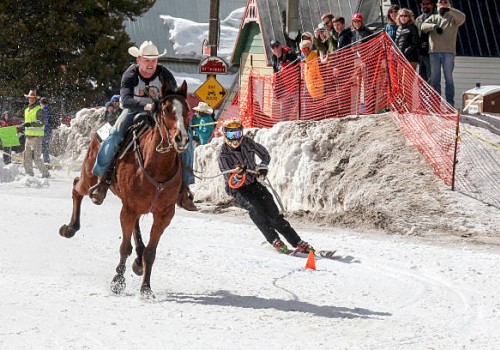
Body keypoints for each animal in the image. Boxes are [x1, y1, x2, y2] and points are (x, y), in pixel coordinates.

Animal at [59, 80, 191, 300]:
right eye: (166, 109)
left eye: (187, 110)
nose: (181, 138)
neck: (156, 166)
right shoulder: (128, 210)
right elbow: (124, 248)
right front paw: (117, 282)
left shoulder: (164, 214)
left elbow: (151, 252)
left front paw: (146, 288)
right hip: (90, 176)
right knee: (77, 187)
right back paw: (70, 228)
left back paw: (138, 262)